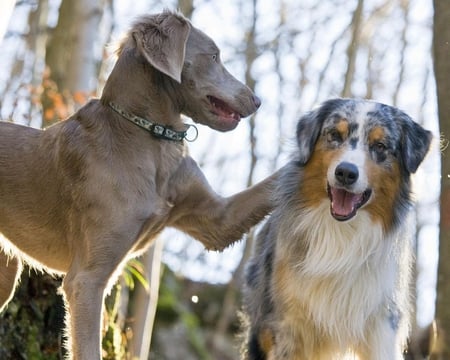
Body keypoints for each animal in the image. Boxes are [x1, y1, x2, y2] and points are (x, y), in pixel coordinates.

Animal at [243, 98, 432, 360]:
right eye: (334, 135)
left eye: (380, 145)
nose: (346, 172)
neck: (341, 233)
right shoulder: (288, 326)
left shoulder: (382, 324)